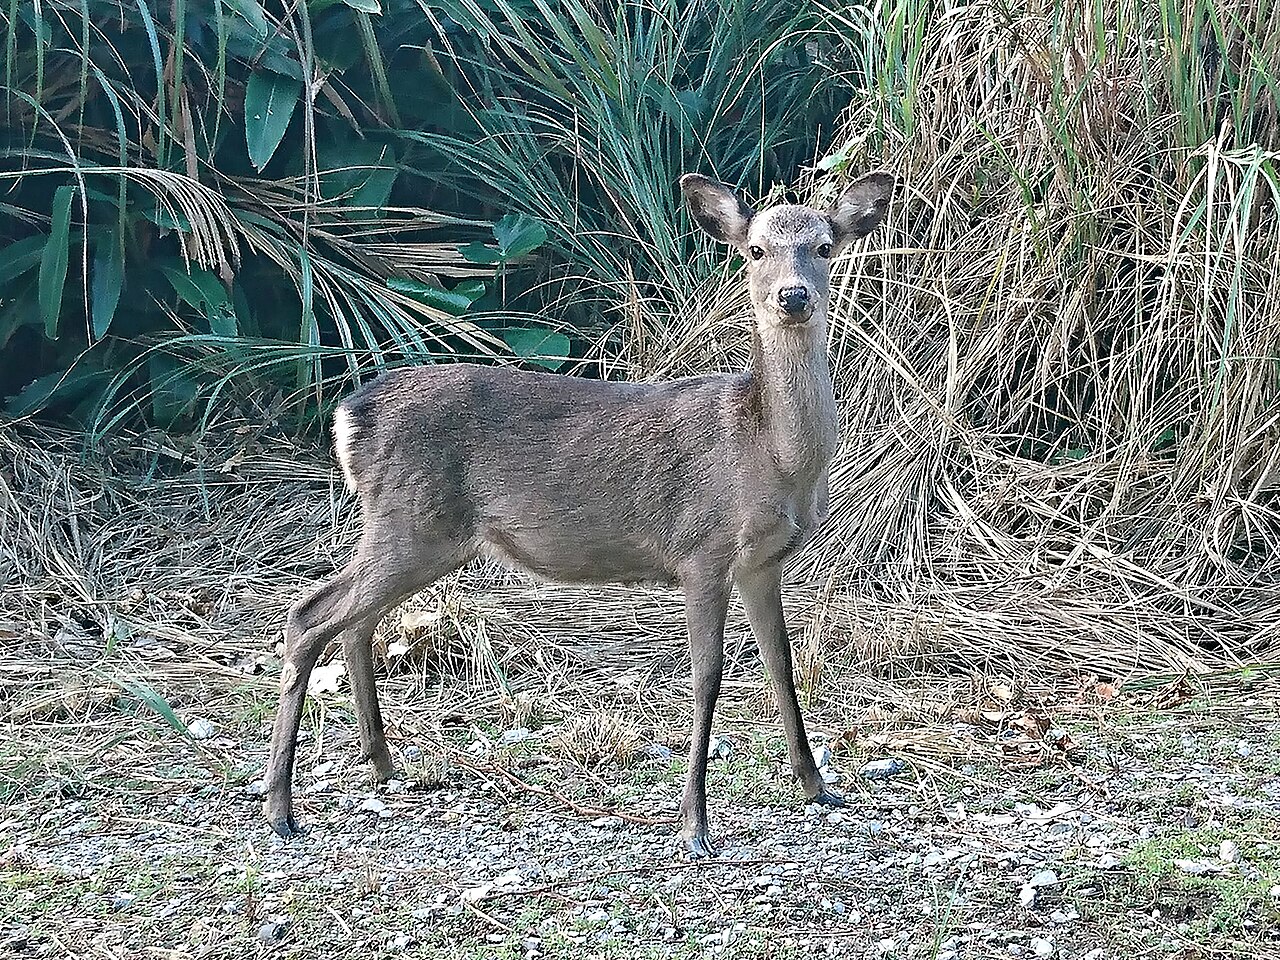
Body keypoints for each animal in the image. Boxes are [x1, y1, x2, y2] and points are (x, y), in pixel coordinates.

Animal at [263, 169, 896, 857]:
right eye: (754, 250)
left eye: (825, 248)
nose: (793, 296)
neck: (770, 454)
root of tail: (350, 417)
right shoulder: (702, 551)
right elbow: (707, 677)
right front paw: (695, 826)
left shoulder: (763, 562)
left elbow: (783, 667)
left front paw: (818, 788)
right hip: (411, 523)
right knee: (309, 617)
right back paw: (280, 807)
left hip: (411, 531)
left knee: (348, 620)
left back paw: (381, 764)